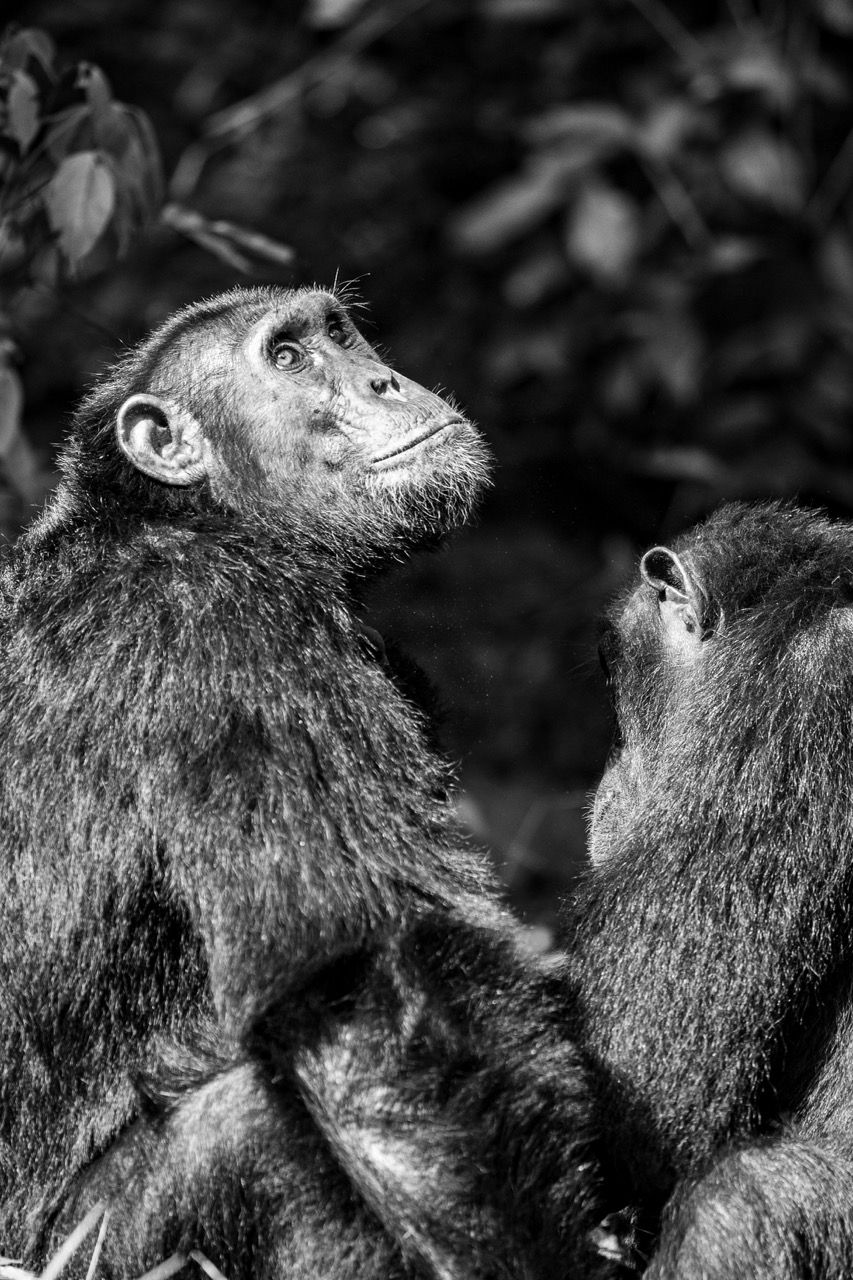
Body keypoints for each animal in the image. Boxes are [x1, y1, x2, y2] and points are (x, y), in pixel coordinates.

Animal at [0, 287, 615, 1279]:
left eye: (342, 335)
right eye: (286, 358)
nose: (384, 378)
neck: (201, 516)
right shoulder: (232, 638)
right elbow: (364, 985)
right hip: (71, 1251)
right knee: (247, 1135)